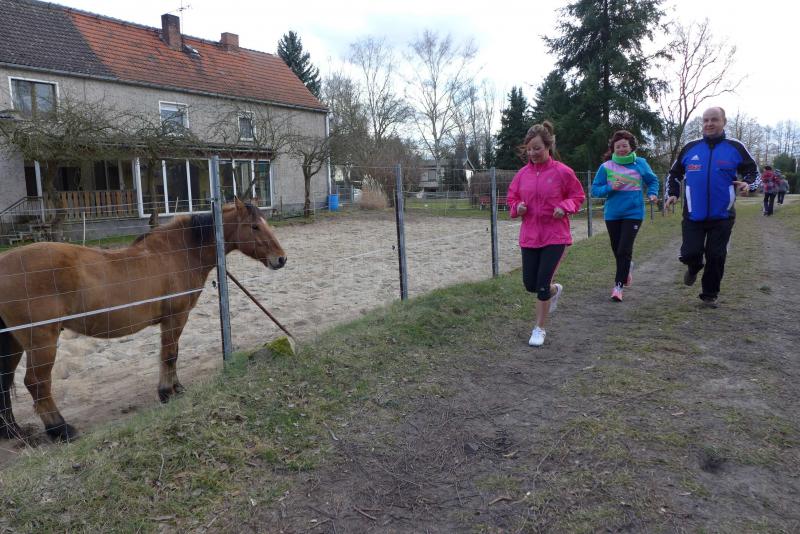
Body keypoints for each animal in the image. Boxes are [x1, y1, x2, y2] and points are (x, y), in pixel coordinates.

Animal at [0, 198, 286, 441]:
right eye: (254, 226)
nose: (281, 259)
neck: (179, 252)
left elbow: (171, 354)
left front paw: (176, 388)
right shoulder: (175, 318)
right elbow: (169, 354)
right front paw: (167, 392)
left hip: (14, 343)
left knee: (6, 380)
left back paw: (13, 431)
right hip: (42, 341)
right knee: (36, 383)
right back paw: (60, 429)